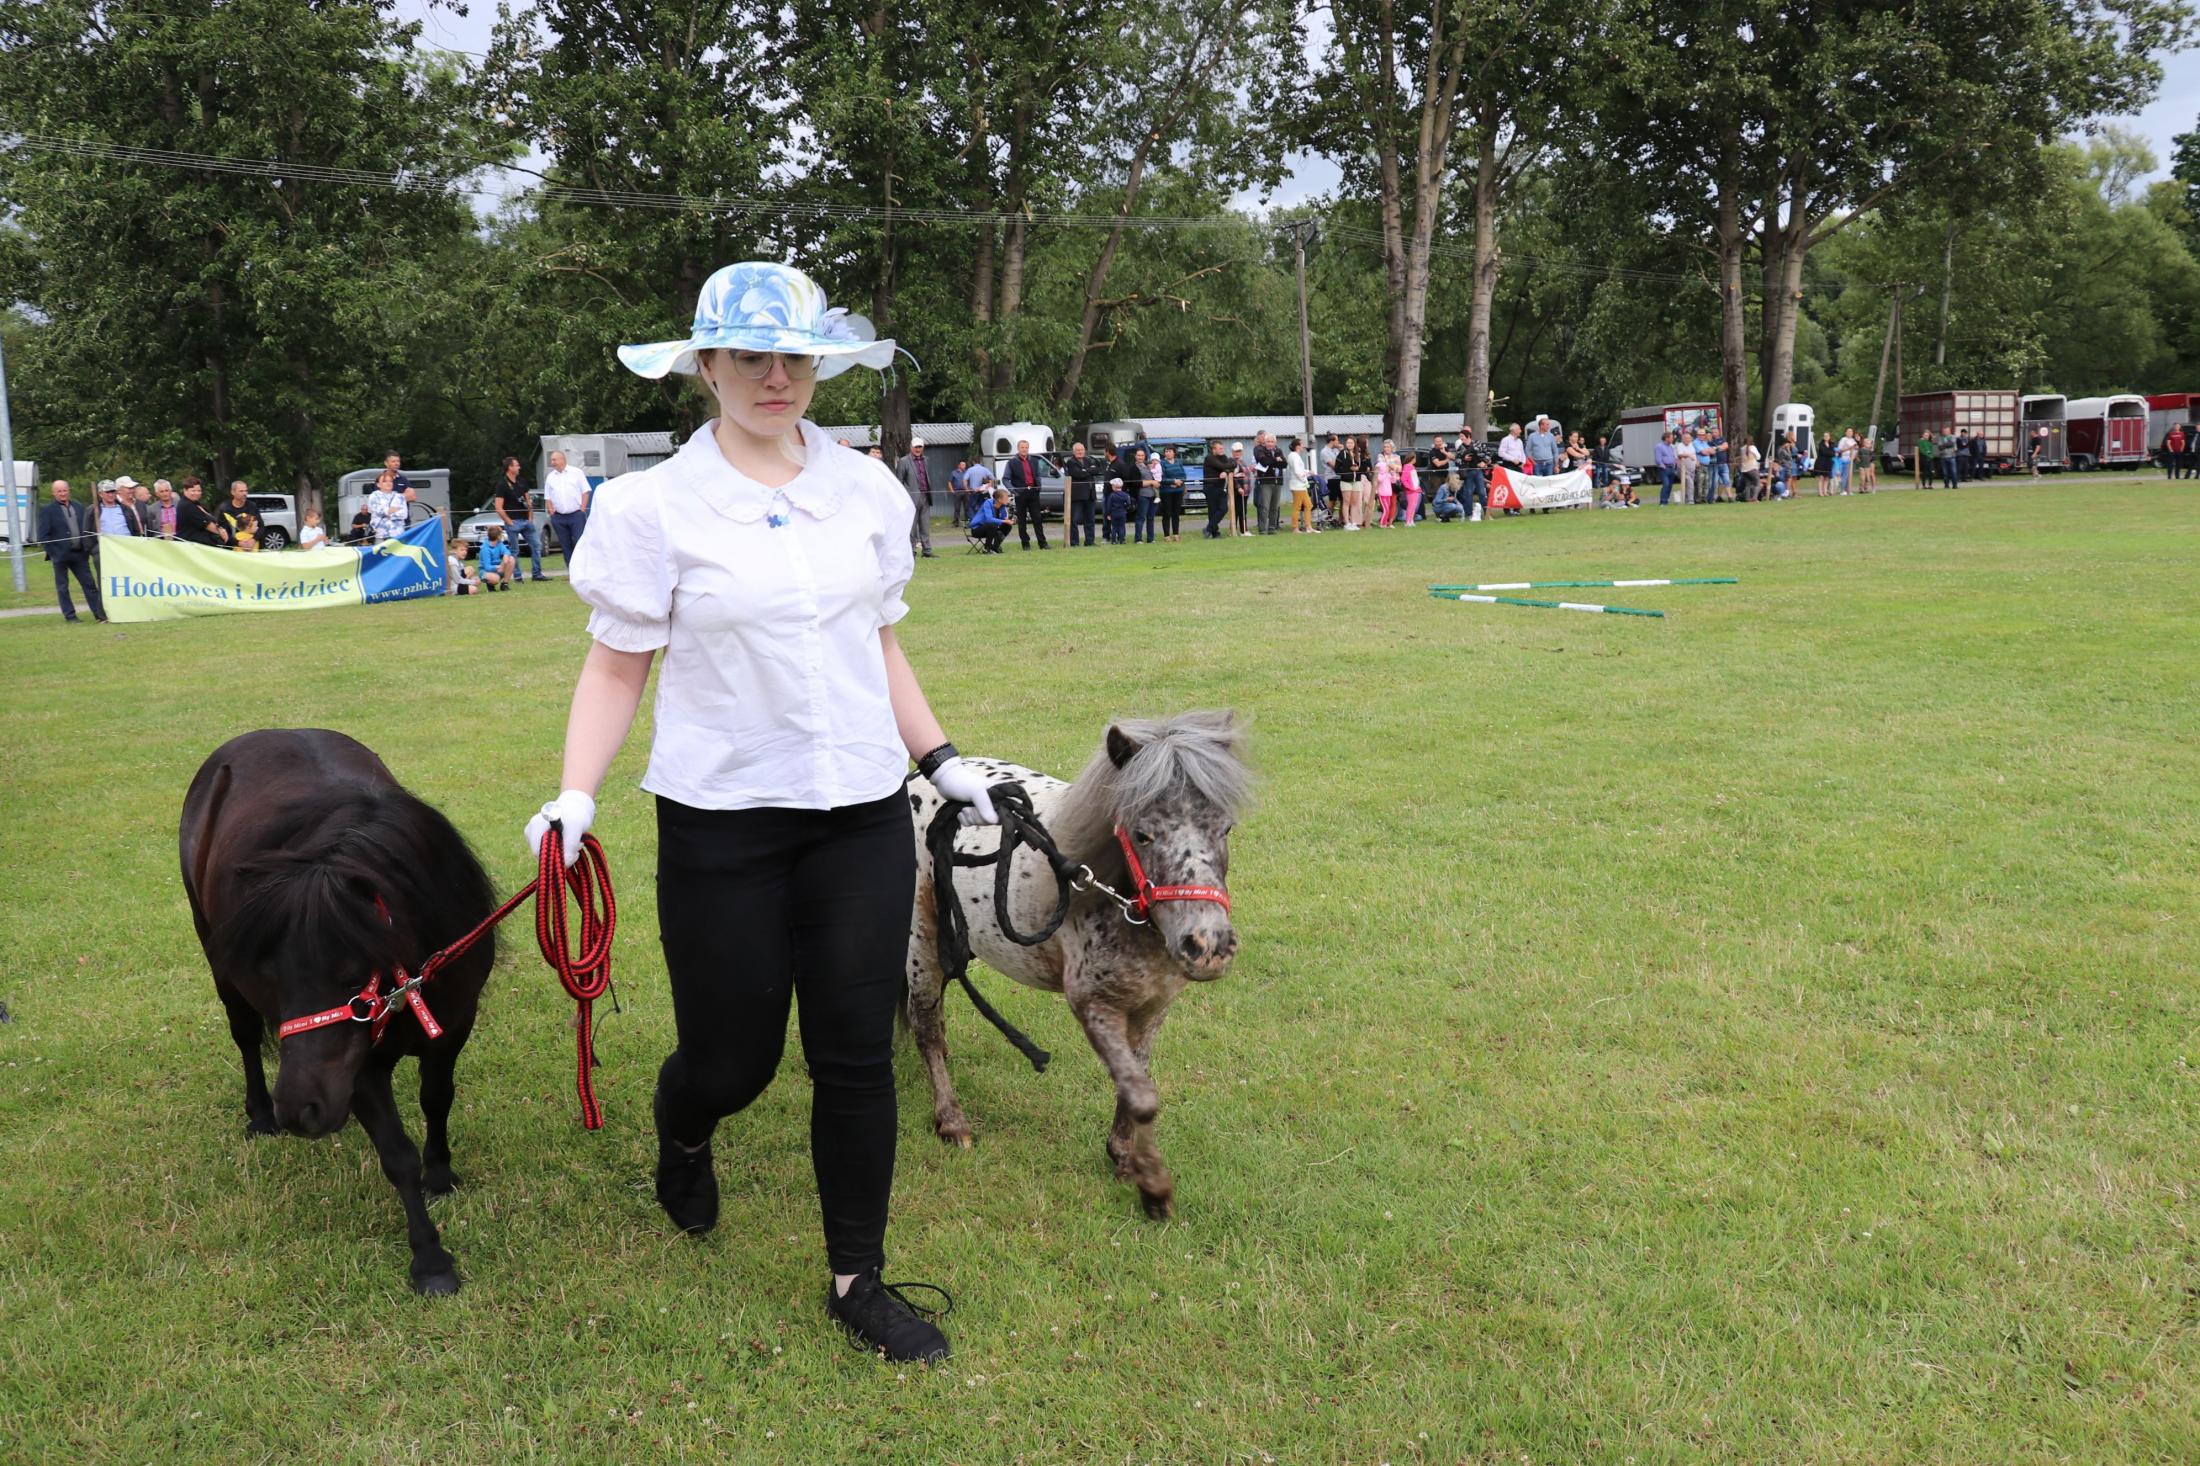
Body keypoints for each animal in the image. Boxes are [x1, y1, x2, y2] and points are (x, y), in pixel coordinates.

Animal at [179, 728, 498, 1295]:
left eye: (353, 976)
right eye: (269, 975)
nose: (299, 1110)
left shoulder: (453, 1026)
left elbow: (437, 1100)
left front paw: (441, 1176)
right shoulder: (361, 1062)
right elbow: (396, 1154)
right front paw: (431, 1260)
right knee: (244, 1036)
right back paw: (260, 1114)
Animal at [905, 710, 1250, 1219]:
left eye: (1224, 829)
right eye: (1142, 833)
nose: (1207, 946)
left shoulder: (1152, 1008)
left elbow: (1137, 1081)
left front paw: (1125, 1158)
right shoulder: (1094, 1005)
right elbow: (1143, 1097)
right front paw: (1153, 1187)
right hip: (921, 942)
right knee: (925, 1024)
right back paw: (952, 1121)